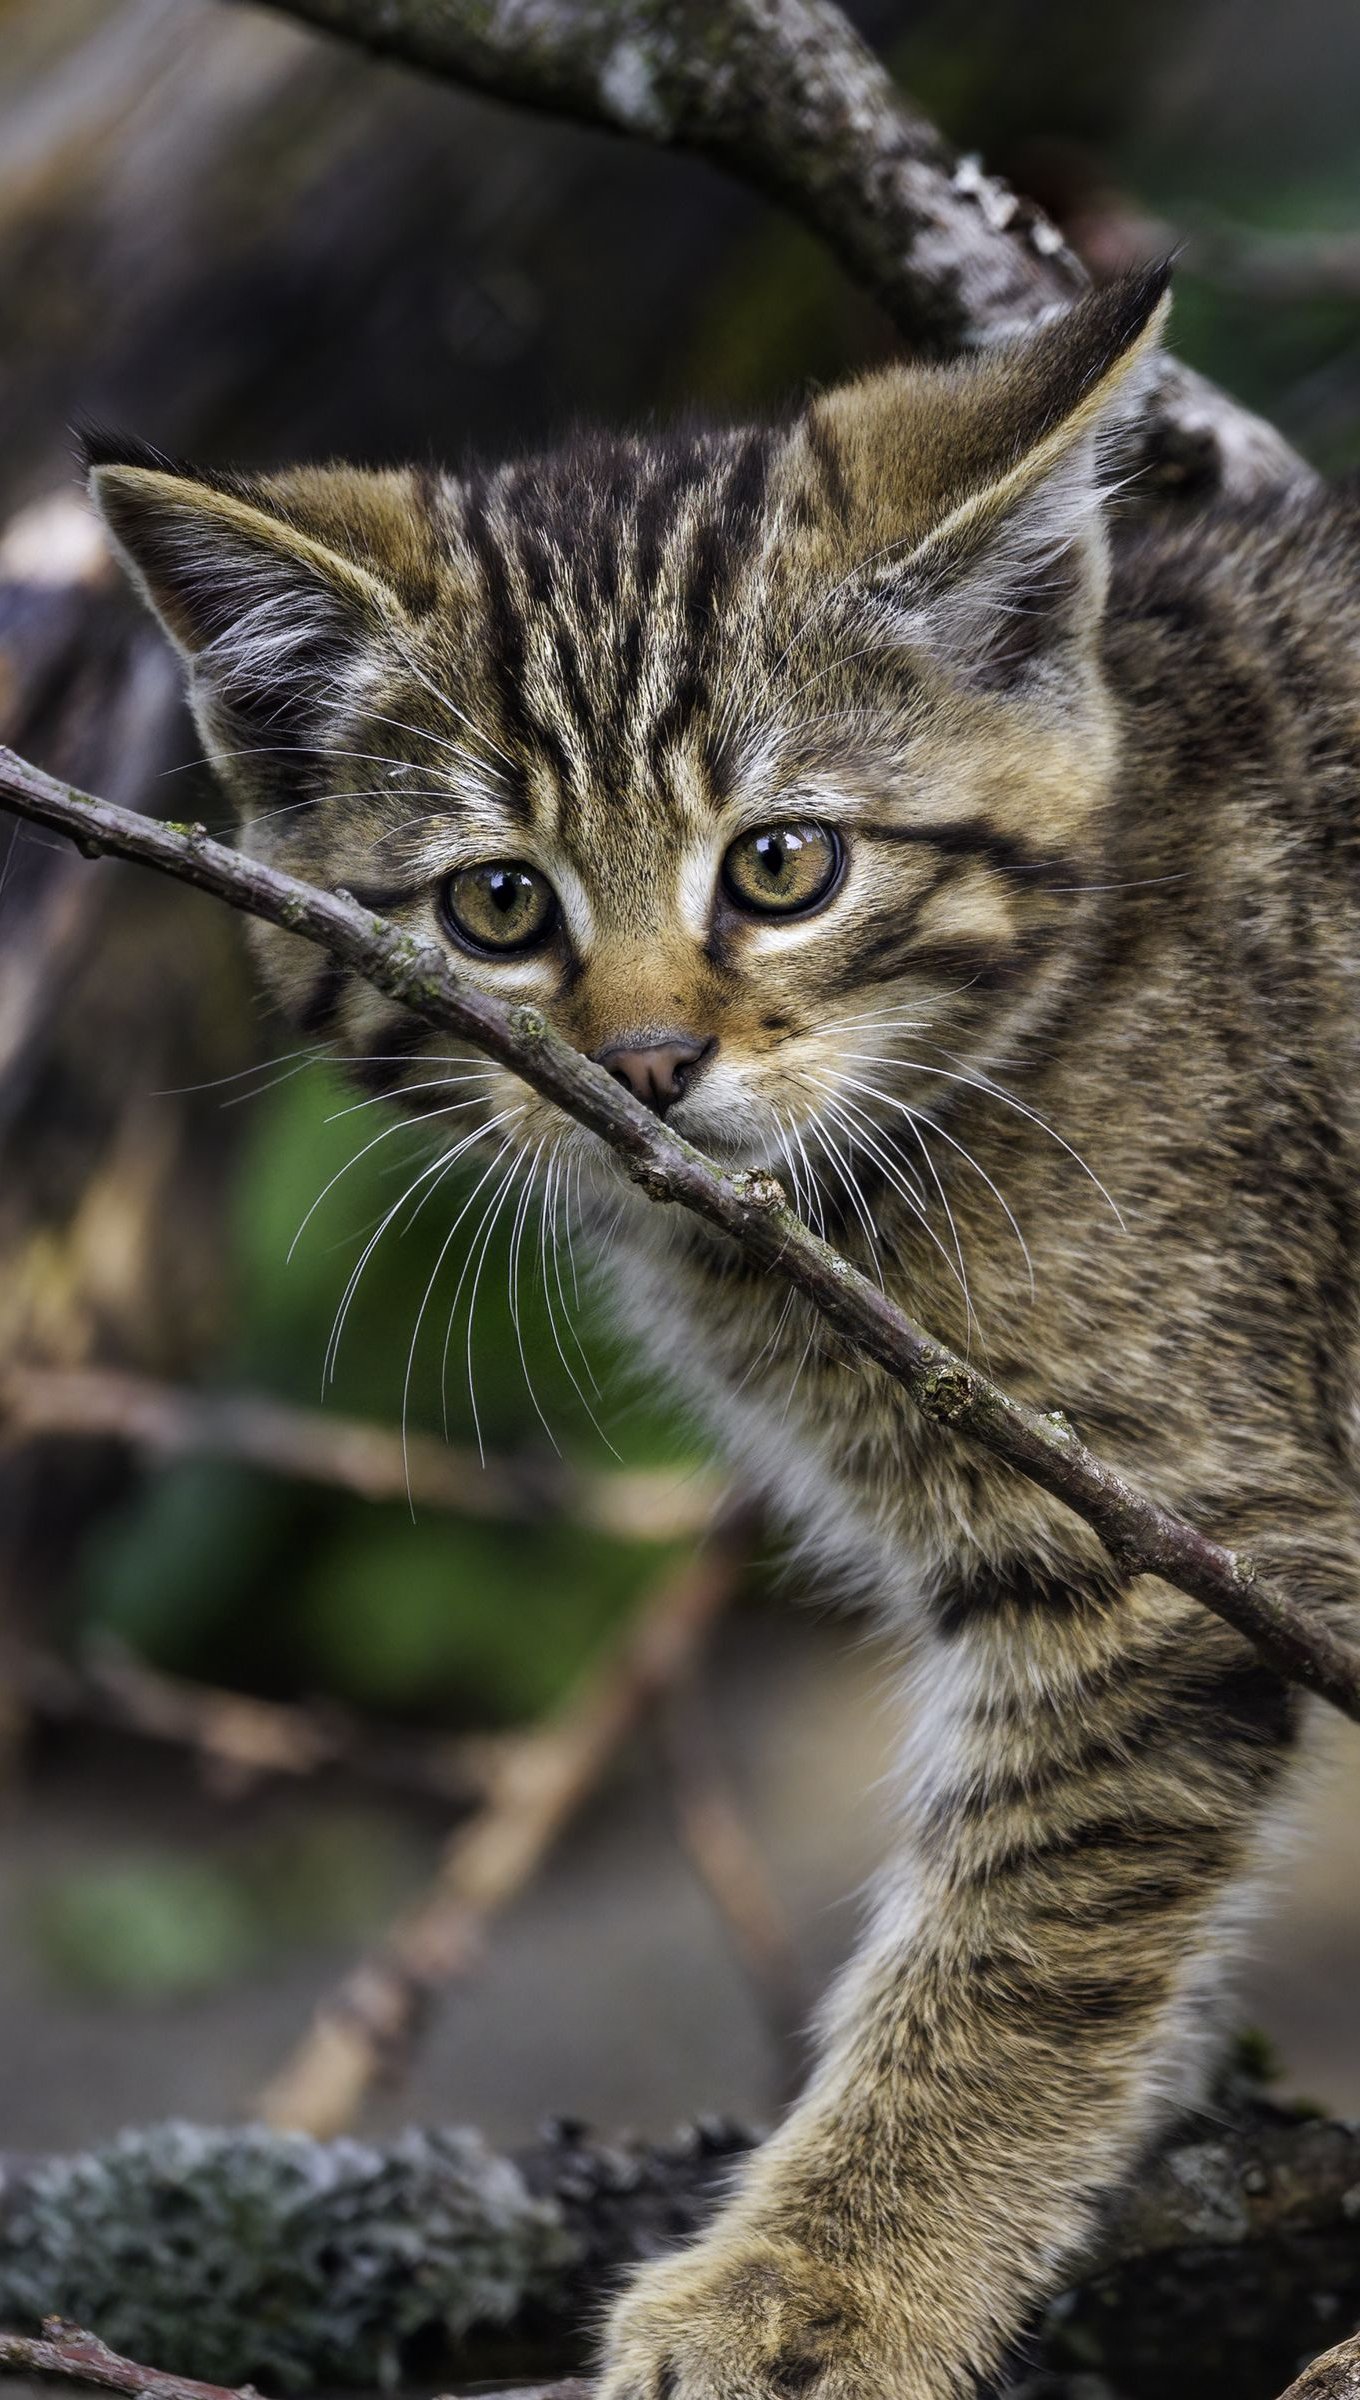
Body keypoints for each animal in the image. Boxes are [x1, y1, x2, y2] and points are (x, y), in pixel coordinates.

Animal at [87, 262, 1360, 2400]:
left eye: (782, 864)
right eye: (496, 910)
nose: (649, 1063)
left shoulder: (1170, 1530)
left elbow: (1022, 1947)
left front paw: (823, 2286)